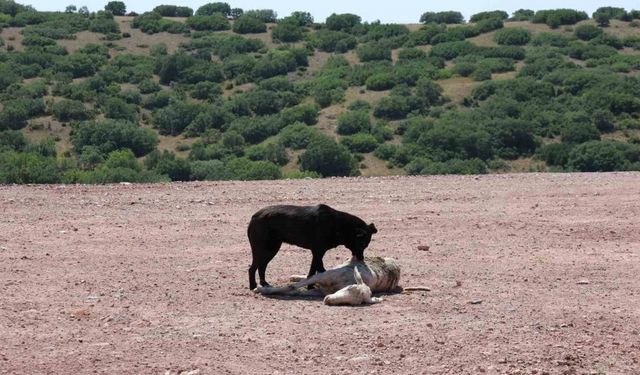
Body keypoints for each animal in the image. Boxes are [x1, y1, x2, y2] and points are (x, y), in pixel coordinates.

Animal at [245, 206, 376, 290]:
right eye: (363, 244)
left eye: (366, 245)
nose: (361, 259)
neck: (340, 226)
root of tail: (253, 217)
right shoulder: (318, 252)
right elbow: (319, 270)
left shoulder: (317, 253)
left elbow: (314, 271)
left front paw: (310, 286)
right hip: (263, 249)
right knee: (252, 268)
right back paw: (252, 286)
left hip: (272, 249)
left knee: (261, 267)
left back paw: (264, 284)